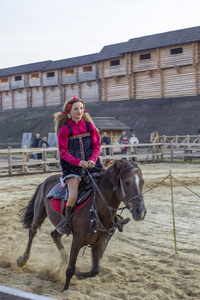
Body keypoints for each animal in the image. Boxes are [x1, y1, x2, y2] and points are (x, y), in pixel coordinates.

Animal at [16, 159, 145, 290]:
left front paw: (79, 274)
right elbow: (70, 270)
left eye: (142, 182)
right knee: (32, 231)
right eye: (127, 182)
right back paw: (23, 259)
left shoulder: (98, 243)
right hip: (39, 214)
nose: (141, 212)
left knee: (55, 235)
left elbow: (94, 271)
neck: (96, 207)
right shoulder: (77, 241)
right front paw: (65, 289)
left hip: (59, 226)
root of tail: (45, 181)